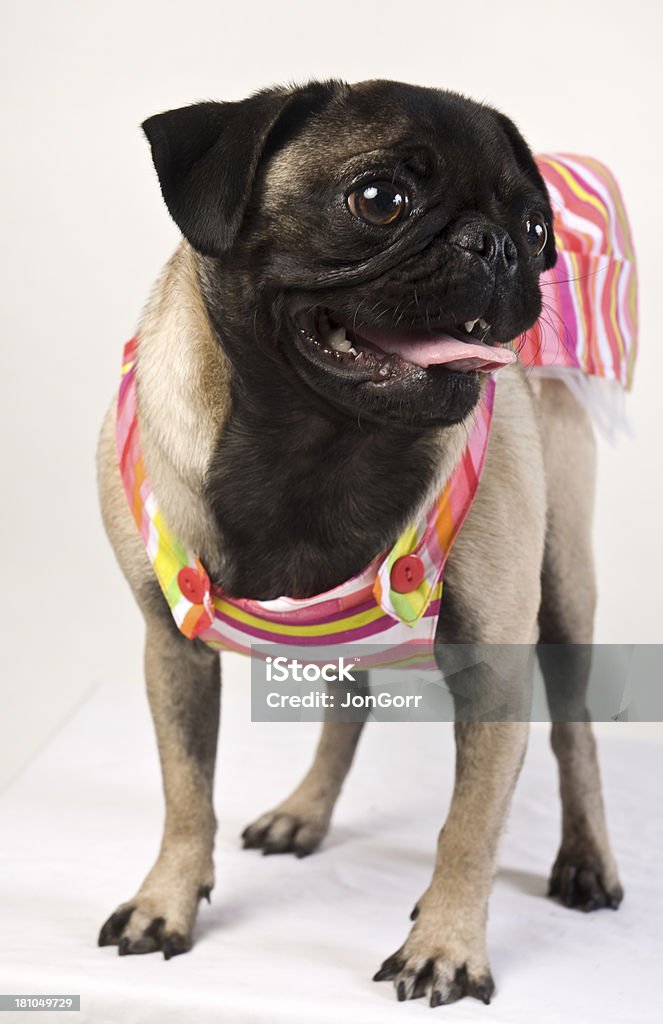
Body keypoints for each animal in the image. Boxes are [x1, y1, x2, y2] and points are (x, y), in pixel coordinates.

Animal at [95, 81, 627, 1007]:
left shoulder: (494, 674)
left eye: (535, 231)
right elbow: (186, 794)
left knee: (574, 735)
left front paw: (445, 946)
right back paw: (304, 812)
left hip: (563, 590)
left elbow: (468, 830)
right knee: (347, 702)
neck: (318, 441)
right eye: (379, 199)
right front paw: (165, 902)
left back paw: (586, 861)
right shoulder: (172, 650)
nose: (496, 245)